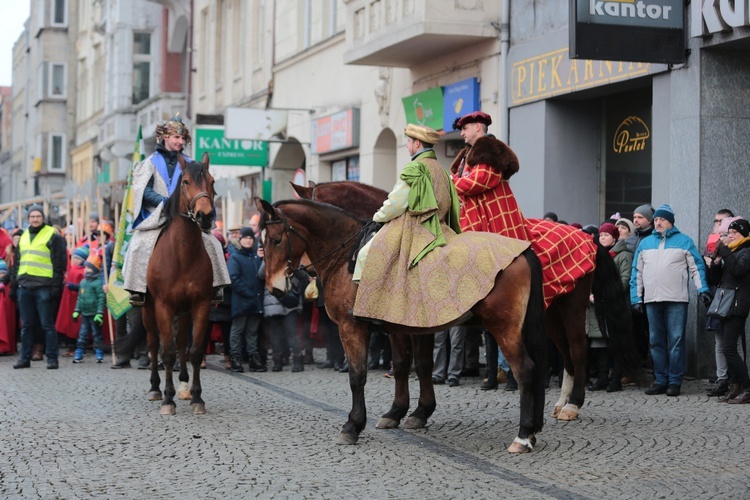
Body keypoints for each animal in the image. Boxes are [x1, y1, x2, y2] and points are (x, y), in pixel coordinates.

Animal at [119, 154, 216, 416]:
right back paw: (155, 388)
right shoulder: (163, 306)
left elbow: (194, 351)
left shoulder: (201, 305)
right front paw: (168, 400)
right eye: (186, 181)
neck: (183, 254)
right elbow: (167, 352)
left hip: (183, 312)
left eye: (212, 181)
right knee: (154, 345)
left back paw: (183, 386)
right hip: (148, 310)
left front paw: (197, 397)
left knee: (182, 343)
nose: (205, 216)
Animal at [258, 196, 548, 454]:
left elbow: (357, 375)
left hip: (504, 328)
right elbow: (408, 366)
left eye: (275, 240)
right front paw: (406, 412)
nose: (274, 288)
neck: (345, 257)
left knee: (525, 370)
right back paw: (534, 428)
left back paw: (523, 435)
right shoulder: (400, 326)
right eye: (262, 243)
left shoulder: (351, 327)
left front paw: (352, 425)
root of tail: (523, 251)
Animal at [294, 182, 648, 424]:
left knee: (577, 349)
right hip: (549, 314)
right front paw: (410, 411)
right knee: (565, 354)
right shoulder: (410, 323)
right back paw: (560, 403)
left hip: (571, 308)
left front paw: (400, 411)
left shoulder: (395, 323)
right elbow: (413, 364)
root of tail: (589, 238)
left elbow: (405, 364)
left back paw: (572, 405)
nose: (307, 272)